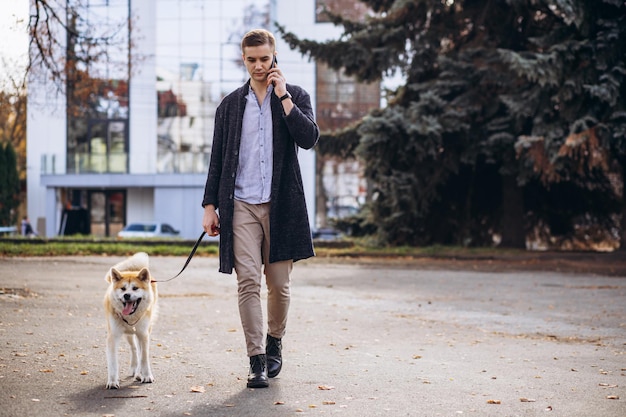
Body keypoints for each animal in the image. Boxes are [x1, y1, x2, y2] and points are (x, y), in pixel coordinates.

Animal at [103, 250, 157, 390]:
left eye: (135, 288)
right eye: (122, 289)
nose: (126, 295)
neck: (130, 317)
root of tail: (133, 270)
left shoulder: (143, 335)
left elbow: (144, 357)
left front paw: (146, 376)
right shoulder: (113, 337)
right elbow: (113, 362)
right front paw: (112, 381)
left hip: (143, 332)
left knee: (139, 351)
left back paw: (138, 374)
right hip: (129, 335)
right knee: (134, 349)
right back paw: (135, 370)